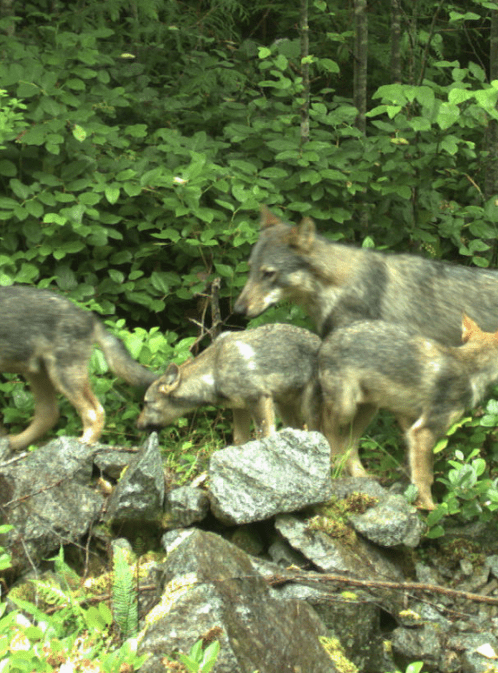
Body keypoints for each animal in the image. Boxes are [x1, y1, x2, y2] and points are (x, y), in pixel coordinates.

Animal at [0, 286, 157, 451]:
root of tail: (88, 316)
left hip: (63, 377)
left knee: (94, 411)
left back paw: (87, 441)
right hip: (39, 375)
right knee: (49, 414)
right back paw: (14, 442)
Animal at [137, 323, 321, 445]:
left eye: (146, 403)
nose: (136, 425)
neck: (213, 374)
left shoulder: (259, 400)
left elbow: (264, 436)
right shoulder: (239, 408)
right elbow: (239, 441)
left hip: (309, 411)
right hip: (285, 408)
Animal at [318, 315, 498, 509]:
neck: (471, 368)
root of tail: (328, 337)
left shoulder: (409, 424)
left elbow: (415, 471)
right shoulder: (423, 431)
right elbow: (424, 478)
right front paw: (430, 509)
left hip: (367, 411)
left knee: (349, 444)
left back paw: (362, 476)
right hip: (346, 409)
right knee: (324, 425)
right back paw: (335, 463)